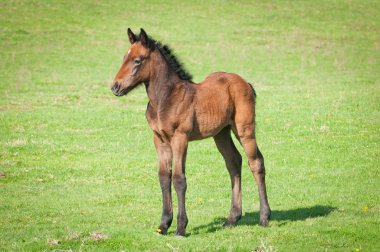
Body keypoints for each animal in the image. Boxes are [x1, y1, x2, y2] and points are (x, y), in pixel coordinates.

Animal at [110, 28, 270, 237]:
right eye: (124, 58)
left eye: (137, 60)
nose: (115, 87)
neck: (166, 98)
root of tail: (246, 83)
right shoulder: (159, 140)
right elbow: (164, 177)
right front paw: (163, 224)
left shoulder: (180, 137)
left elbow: (179, 179)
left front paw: (180, 227)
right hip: (221, 133)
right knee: (234, 162)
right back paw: (232, 219)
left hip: (244, 129)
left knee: (256, 162)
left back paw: (264, 217)